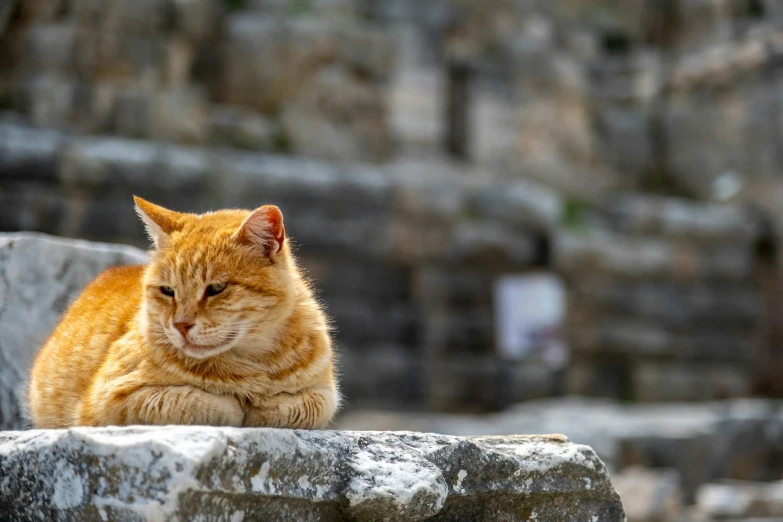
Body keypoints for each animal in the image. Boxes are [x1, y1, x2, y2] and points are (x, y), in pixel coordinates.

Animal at [28, 195, 340, 426]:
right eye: (168, 291)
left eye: (216, 288)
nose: (180, 325)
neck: (254, 361)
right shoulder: (106, 400)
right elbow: (197, 401)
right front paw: (238, 406)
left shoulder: (325, 393)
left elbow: (302, 405)